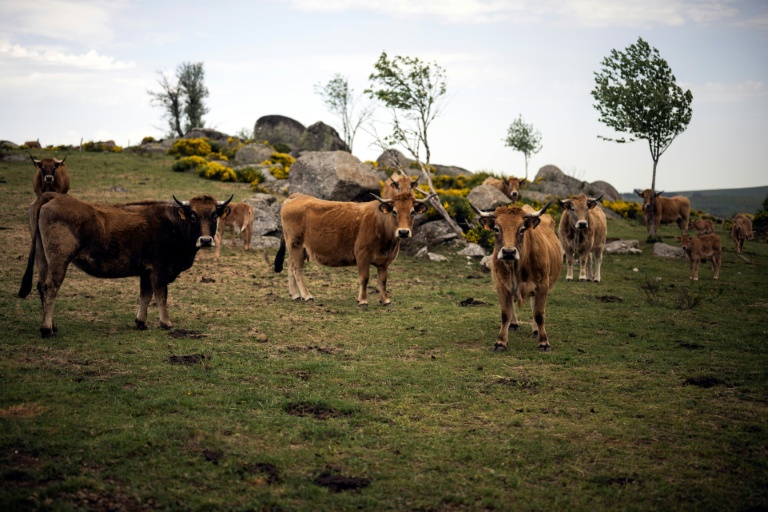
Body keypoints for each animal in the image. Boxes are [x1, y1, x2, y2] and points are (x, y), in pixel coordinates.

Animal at [18, 192, 232, 337]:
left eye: (214, 215)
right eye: (193, 216)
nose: (205, 240)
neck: (173, 225)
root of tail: (52, 196)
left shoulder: (146, 271)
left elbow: (145, 295)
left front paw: (141, 322)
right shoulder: (160, 270)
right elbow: (161, 296)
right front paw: (166, 322)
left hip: (42, 256)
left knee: (41, 286)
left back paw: (52, 325)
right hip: (59, 258)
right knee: (51, 287)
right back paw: (47, 329)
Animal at [274, 192, 433, 305]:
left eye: (412, 212)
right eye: (394, 211)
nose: (403, 232)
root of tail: (297, 196)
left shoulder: (384, 261)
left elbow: (383, 280)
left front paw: (385, 300)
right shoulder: (362, 254)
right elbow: (364, 278)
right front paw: (362, 300)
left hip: (296, 249)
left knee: (290, 264)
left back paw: (295, 294)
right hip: (296, 245)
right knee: (297, 269)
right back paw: (307, 296)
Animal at [477, 202, 562, 352]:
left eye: (522, 229)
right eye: (496, 229)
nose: (508, 252)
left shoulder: (542, 286)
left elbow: (539, 314)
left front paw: (544, 343)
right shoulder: (501, 286)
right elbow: (505, 313)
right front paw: (500, 342)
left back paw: (535, 330)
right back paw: (514, 324)